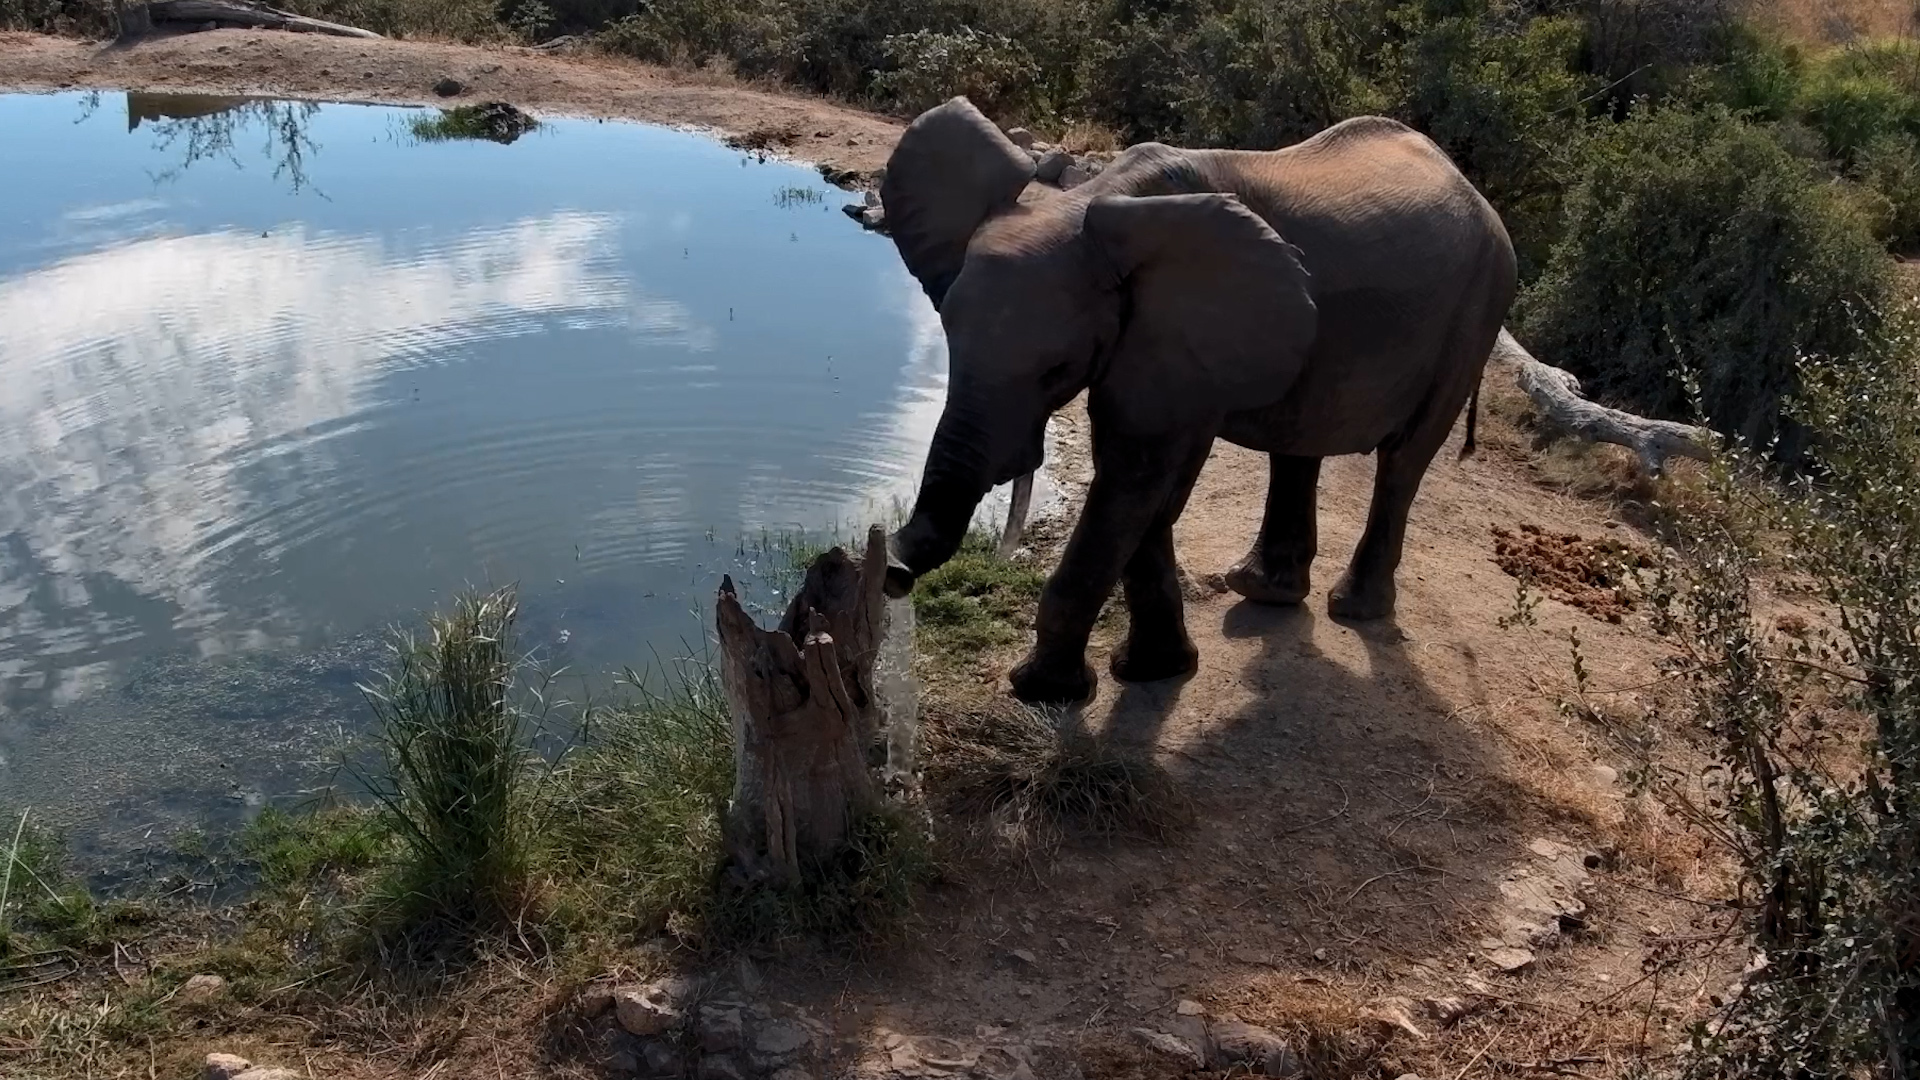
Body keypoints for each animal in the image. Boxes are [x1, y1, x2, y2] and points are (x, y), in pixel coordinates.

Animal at [878, 98, 1517, 706]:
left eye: (1055, 370)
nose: (892, 569)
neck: (1092, 198)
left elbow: (1136, 477)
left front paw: (1048, 691)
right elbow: (1142, 487)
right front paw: (1154, 671)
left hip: (1479, 310)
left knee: (1403, 461)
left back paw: (1353, 609)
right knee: (1298, 443)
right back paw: (1262, 590)